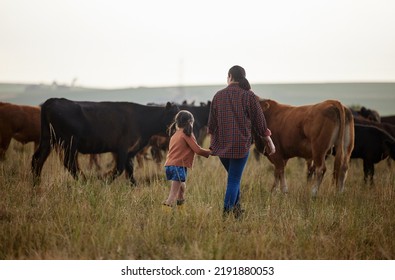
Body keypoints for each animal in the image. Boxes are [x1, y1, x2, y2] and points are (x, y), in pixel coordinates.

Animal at [31, 98, 179, 186]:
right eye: (173, 116)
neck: (142, 120)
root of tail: (53, 100)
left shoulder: (131, 151)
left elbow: (130, 170)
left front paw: (134, 186)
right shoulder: (122, 148)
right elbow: (119, 169)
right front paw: (104, 179)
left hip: (48, 140)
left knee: (38, 159)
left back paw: (36, 183)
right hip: (70, 143)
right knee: (69, 163)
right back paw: (84, 181)